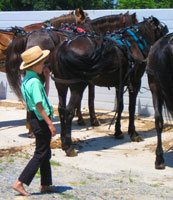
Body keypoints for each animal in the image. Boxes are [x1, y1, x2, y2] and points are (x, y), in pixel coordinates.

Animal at [50, 16, 169, 156]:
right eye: (161, 28)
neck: (133, 43)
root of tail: (63, 47)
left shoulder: (119, 83)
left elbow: (120, 106)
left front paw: (118, 132)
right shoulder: (135, 82)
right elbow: (131, 108)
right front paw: (133, 133)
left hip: (61, 85)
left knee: (61, 109)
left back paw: (63, 142)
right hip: (77, 86)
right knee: (68, 111)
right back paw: (69, 147)